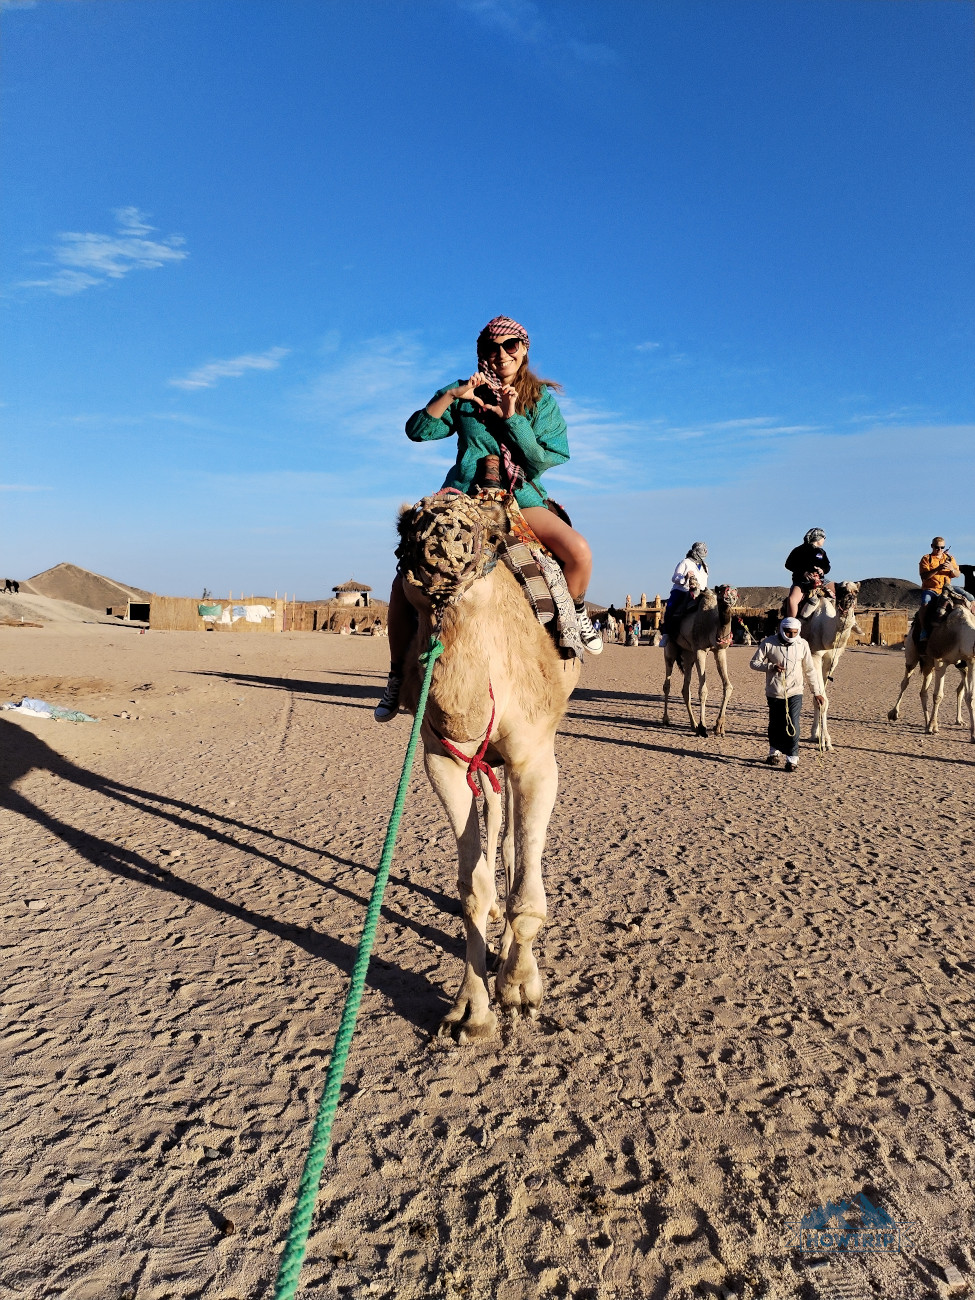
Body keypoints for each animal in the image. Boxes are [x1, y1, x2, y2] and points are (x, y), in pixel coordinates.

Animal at [395, 491, 579, 1040]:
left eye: (494, 536)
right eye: (402, 535)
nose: (443, 535)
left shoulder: (535, 757)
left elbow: (528, 892)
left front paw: (519, 988)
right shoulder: (442, 760)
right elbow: (470, 886)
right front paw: (470, 1011)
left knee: (517, 841)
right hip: (484, 763)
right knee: (497, 818)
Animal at [660, 585, 738, 738]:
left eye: (734, 593)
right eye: (721, 591)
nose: (729, 599)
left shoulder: (719, 651)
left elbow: (728, 686)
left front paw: (719, 727)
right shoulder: (700, 650)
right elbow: (703, 690)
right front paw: (703, 727)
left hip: (688, 654)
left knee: (685, 689)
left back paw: (693, 725)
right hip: (670, 650)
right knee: (667, 684)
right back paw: (667, 719)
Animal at [795, 582, 868, 754]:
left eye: (856, 591)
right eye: (841, 590)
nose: (849, 599)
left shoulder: (831, 661)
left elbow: (821, 699)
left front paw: (819, 737)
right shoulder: (814, 655)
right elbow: (822, 699)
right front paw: (825, 742)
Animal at [889, 598, 972, 743]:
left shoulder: (968, 662)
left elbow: (969, 696)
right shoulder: (941, 660)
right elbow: (938, 695)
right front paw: (934, 727)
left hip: (929, 664)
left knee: (924, 691)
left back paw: (928, 722)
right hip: (911, 653)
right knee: (905, 682)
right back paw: (894, 713)